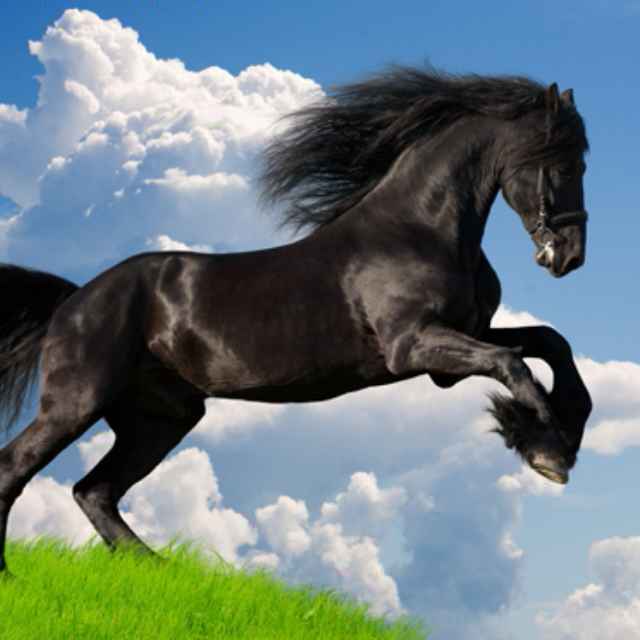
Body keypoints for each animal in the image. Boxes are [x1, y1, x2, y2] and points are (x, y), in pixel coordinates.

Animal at [0, 67, 592, 574]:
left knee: (94, 491)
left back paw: (160, 569)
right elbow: (514, 364)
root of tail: (74, 300)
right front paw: (548, 449)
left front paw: (559, 433)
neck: (418, 230)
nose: (569, 256)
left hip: (162, 417)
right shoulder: (414, 346)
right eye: (564, 163)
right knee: (19, 469)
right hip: (77, 402)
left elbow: (549, 343)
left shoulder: (457, 347)